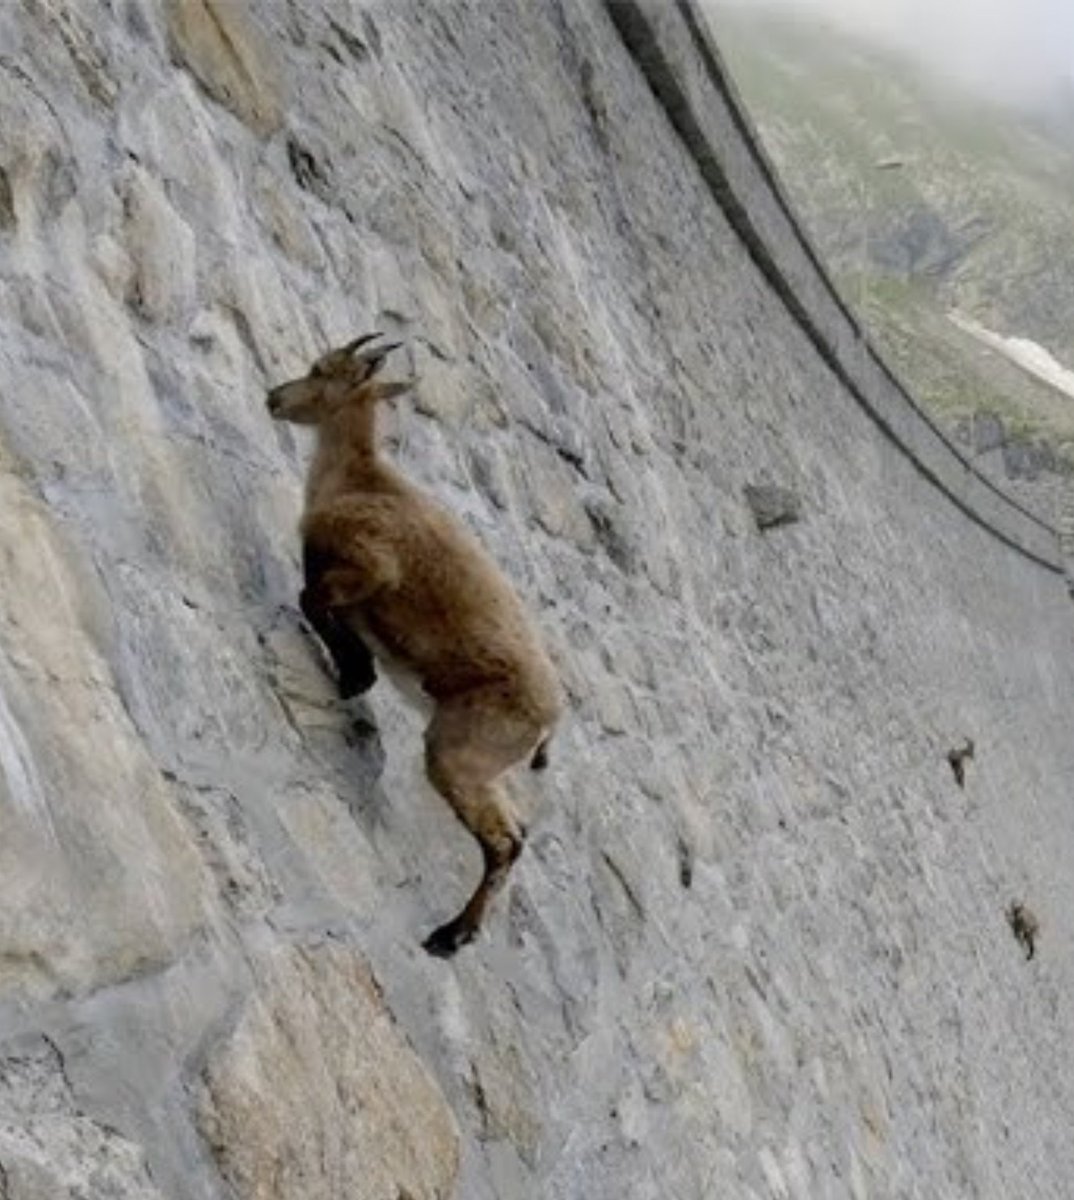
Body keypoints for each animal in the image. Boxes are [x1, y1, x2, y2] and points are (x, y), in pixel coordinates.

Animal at [267, 335, 562, 957]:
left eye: (321, 370)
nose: (273, 397)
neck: (362, 480)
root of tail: (552, 721)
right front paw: (358, 672)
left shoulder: (369, 567)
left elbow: (312, 599)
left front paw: (354, 674)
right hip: (484, 765)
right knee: (519, 831)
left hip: (457, 752)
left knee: (504, 842)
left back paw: (451, 936)